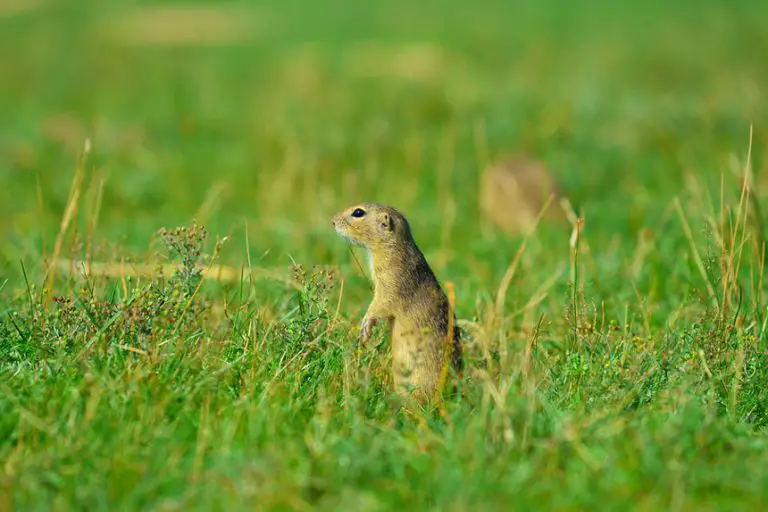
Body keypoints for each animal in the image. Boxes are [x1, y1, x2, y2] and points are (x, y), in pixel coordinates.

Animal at [332, 202, 463, 406]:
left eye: (358, 212)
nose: (332, 221)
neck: (392, 248)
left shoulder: (391, 283)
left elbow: (381, 305)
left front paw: (365, 326)